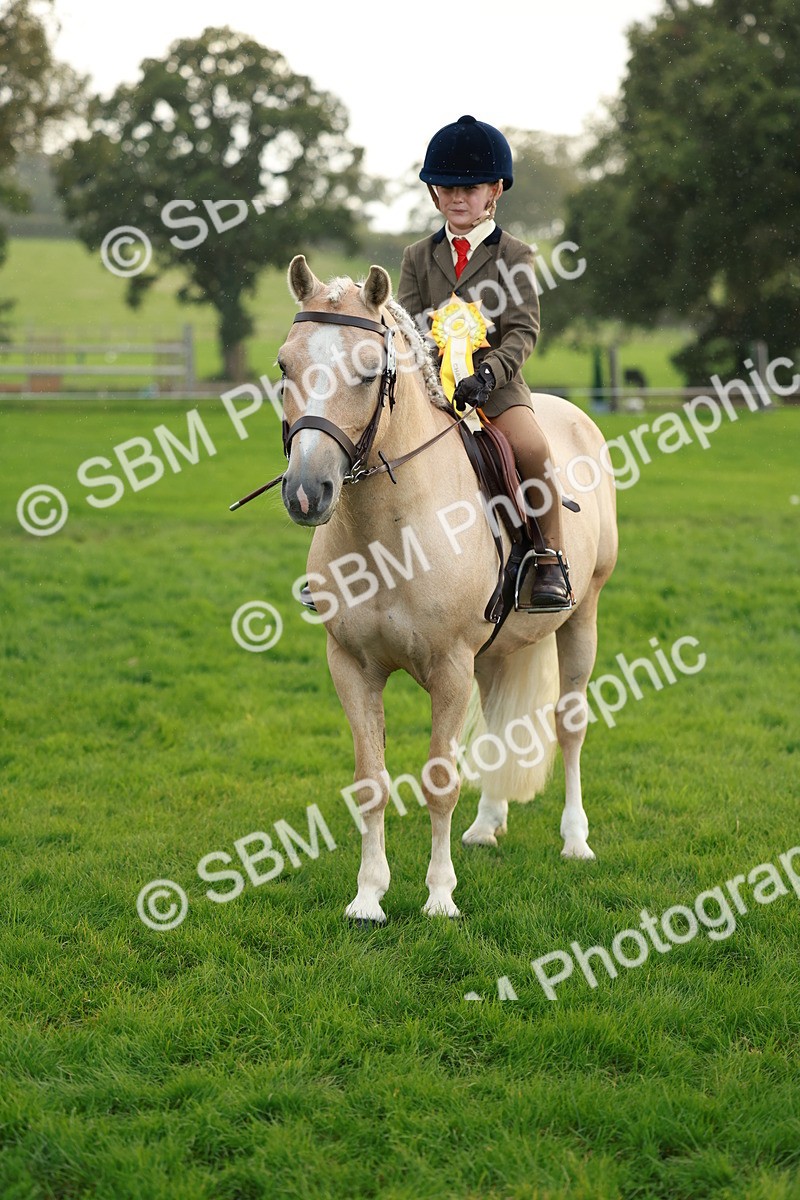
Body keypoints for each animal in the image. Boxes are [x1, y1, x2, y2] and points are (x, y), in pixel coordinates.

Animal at [277, 255, 618, 923]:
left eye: (368, 372)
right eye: (285, 365)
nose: (306, 492)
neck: (388, 533)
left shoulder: (450, 666)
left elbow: (439, 780)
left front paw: (439, 897)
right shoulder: (351, 665)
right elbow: (370, 782)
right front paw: (368, 897)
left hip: (582, 616)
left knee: (569, 725)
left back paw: (576, 840)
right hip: (495, 651)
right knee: (498, 733)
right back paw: (486, 828)